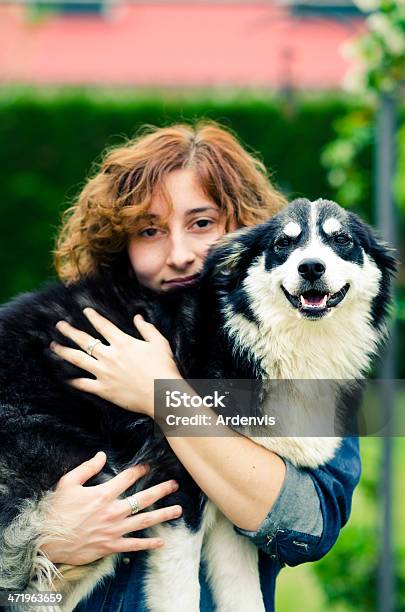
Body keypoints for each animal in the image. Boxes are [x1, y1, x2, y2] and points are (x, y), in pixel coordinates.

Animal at [0, 198, 394, 608]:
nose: (312, 267)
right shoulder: (176, 487)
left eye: (342, 240)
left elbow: (243, 593)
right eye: (283, 244)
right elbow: (181, 592)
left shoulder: (232, 505)